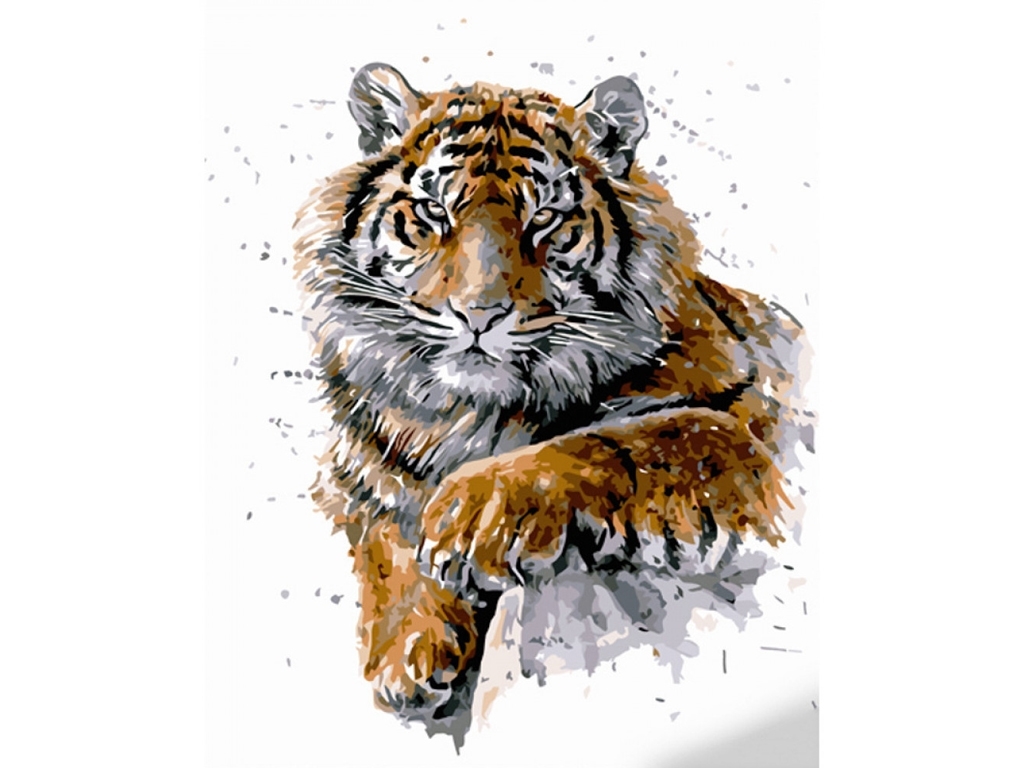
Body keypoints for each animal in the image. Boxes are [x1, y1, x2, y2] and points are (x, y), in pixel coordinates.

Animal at [293, 62, 811, 741]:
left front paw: (470, 514)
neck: (469, 415)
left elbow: (611, 442)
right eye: (433, 211)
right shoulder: (357, 470)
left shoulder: (739, 436)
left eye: (542, 218)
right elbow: (382, 530)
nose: (478, 315)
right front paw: (408, 649)